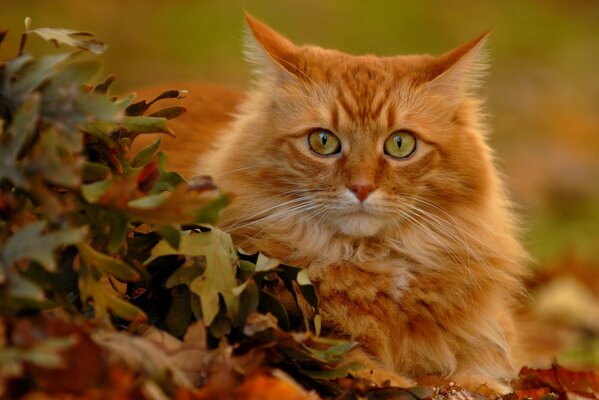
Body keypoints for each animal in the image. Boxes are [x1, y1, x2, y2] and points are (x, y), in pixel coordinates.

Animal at [132, 13, 528, 394]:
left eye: (400, 144)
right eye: (323, 141)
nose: (362, 187)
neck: (370, 261)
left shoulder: (487, 332)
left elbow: (481, 365)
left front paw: (474, 383)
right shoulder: (295, 335)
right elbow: (368, 366)